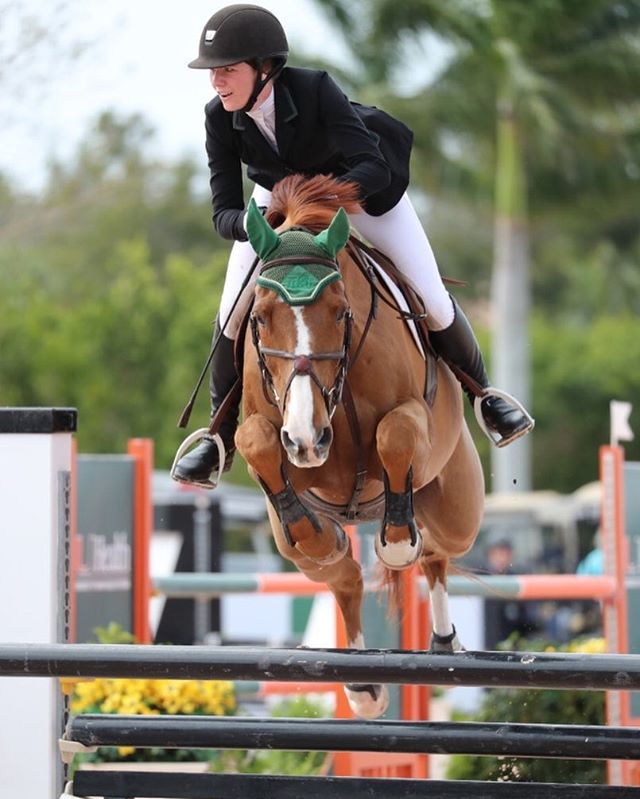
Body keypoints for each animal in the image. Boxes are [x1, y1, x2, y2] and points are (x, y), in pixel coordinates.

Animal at [236, 173, 484, 720]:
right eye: (259, 318)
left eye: (341, 312)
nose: (307, 439)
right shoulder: (270, 433)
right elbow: (254, 439)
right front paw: (314, 530)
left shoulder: (411, 419)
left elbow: (394, 435)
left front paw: (395, 541)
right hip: (287, 540)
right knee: (342, 575)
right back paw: (363, 684)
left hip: (456, 508)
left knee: (436, 552)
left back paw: (443, 638)